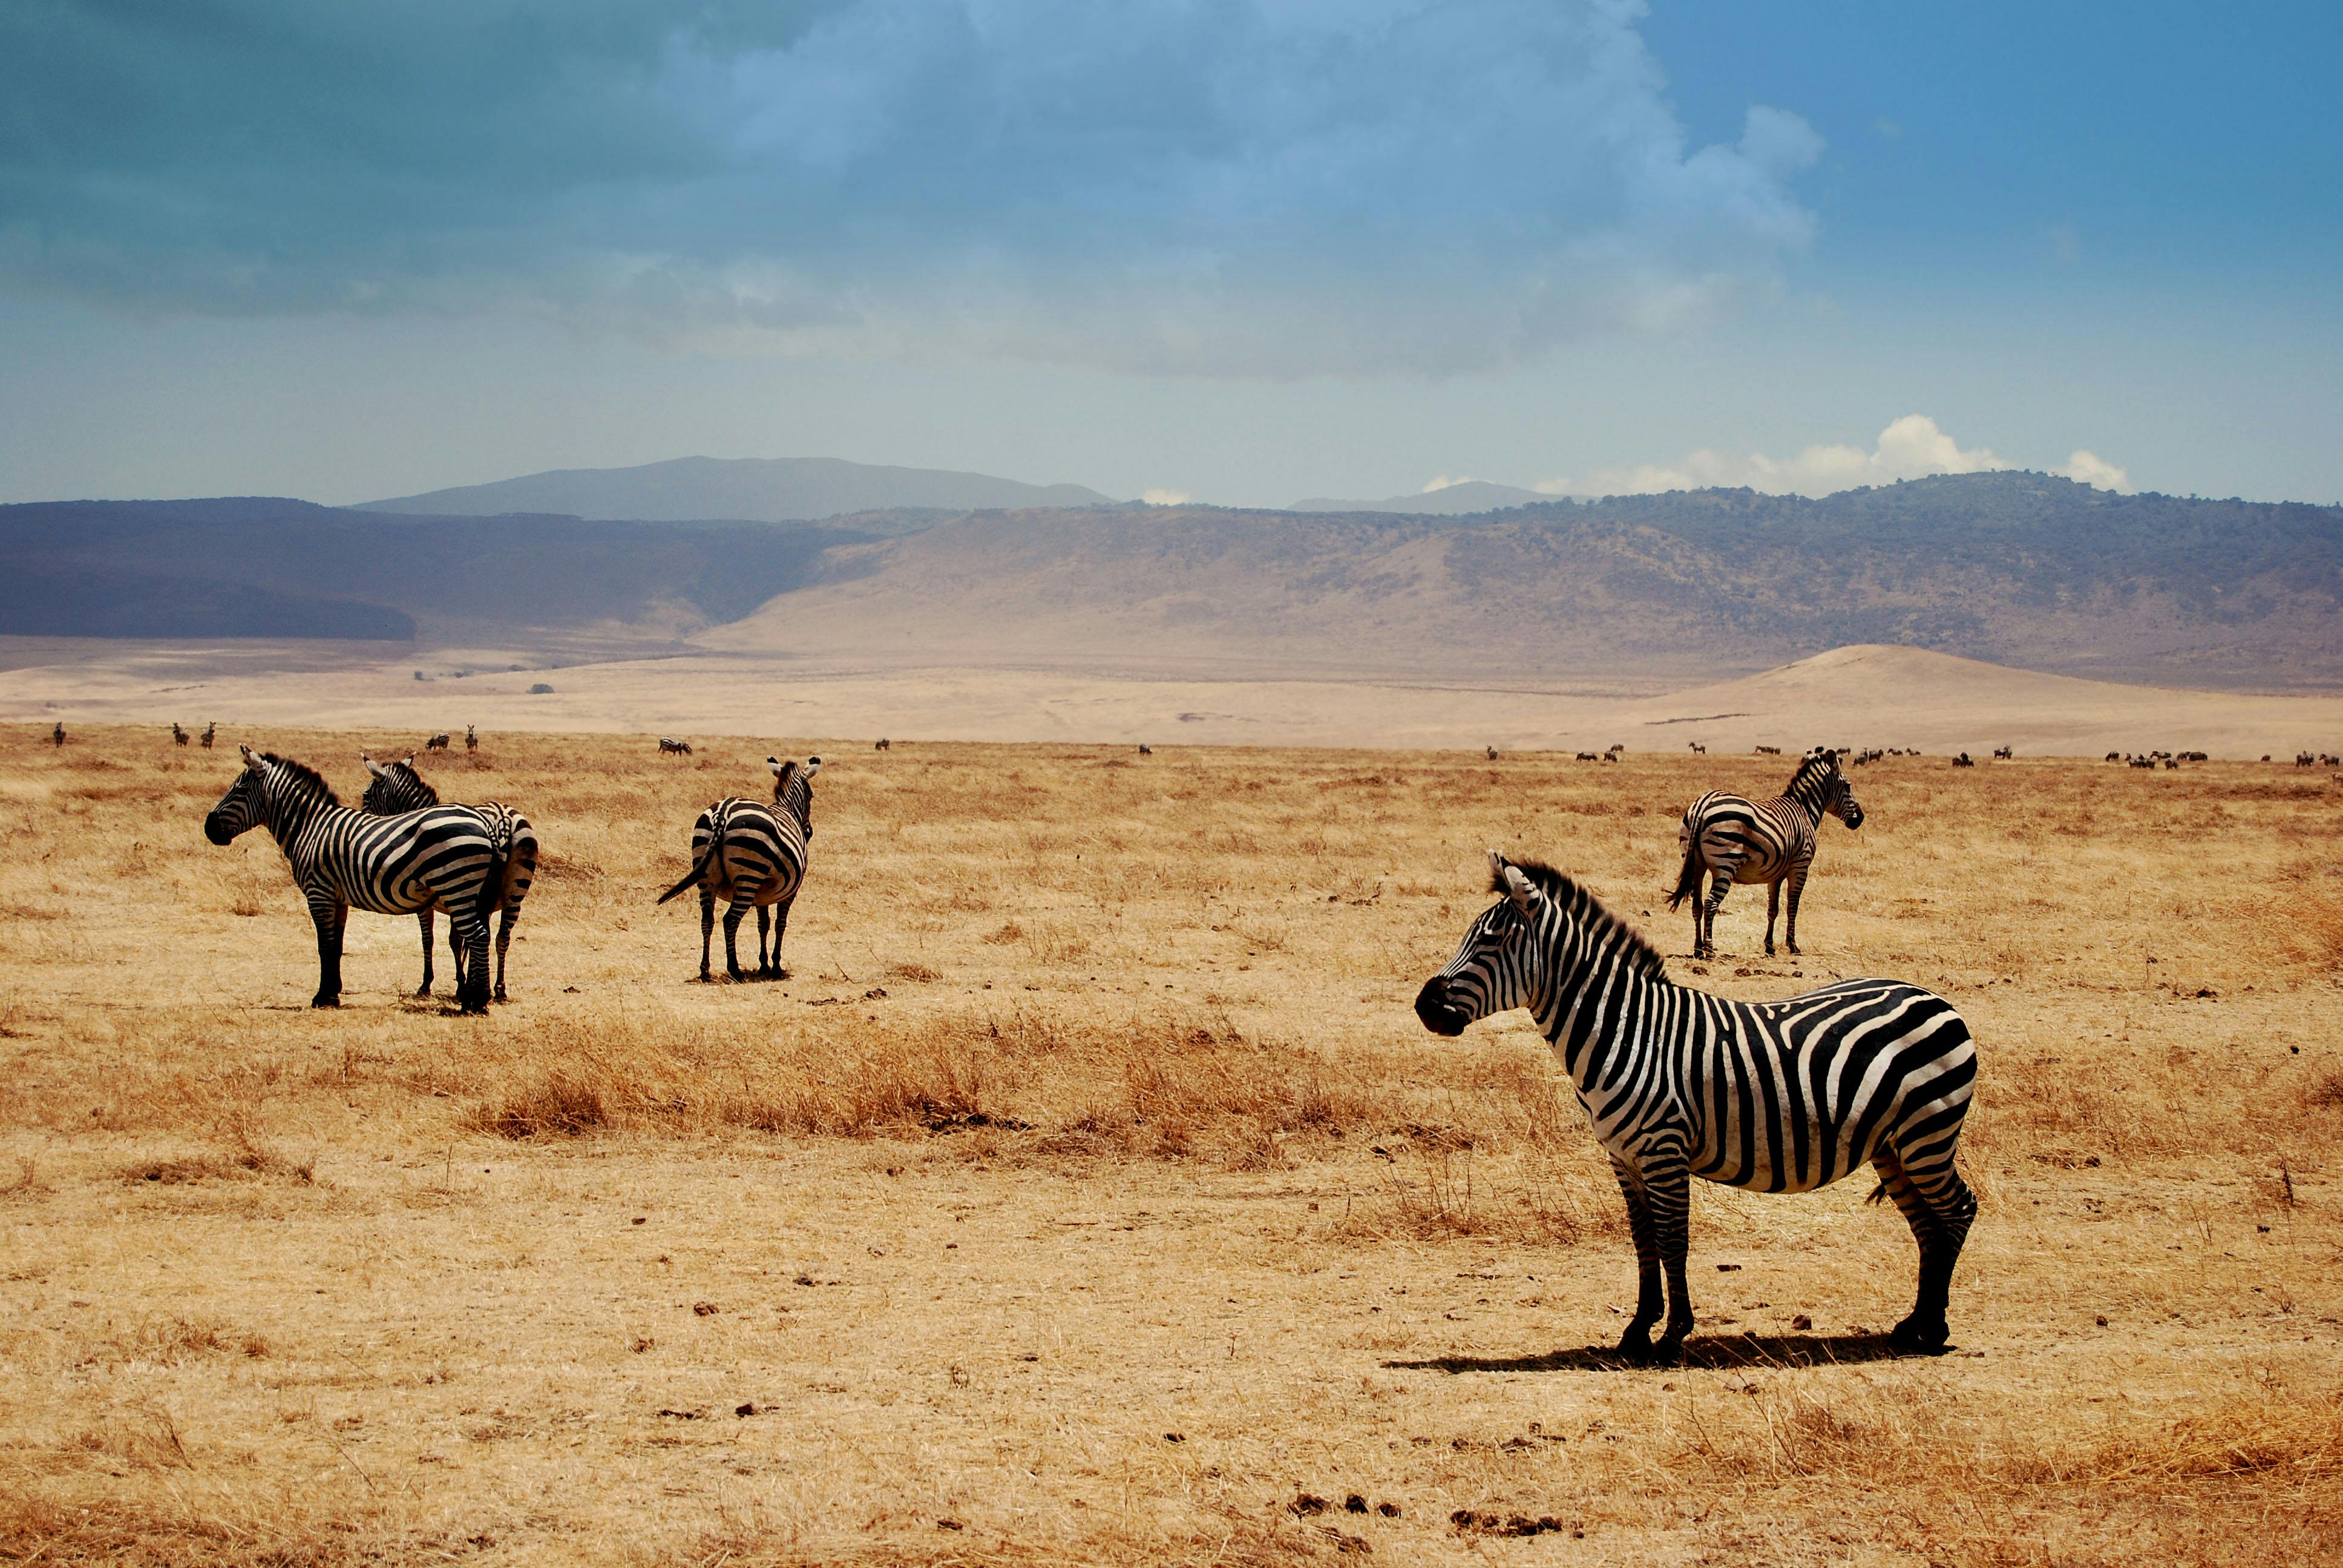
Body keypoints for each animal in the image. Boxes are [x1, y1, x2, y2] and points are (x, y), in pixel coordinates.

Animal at [205, 750, 508, 1017]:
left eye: (240, 789)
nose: (209, 828)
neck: (309, 827)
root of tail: (486, 823)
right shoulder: (337, 898)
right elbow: (337, 945)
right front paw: (333, 994)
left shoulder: (318, 893)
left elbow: (324, 945)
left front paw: (322, 997)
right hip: (469, 892)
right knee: (480, 936)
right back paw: (476, 999)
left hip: (457, 887)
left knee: (478, 937)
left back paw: (476, 1002)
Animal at [361, 750, 539, 998]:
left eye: (366, 795)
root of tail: (503, 818)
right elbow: (462, 939)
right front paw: (466, 982)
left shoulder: (431, 903)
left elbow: (433, 939)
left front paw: (434, 984)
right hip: (515, 893)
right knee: (502, 937)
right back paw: (499, 988)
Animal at [656, 754, 820, 979]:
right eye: (811, 796)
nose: (809, 832)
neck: (788, 810)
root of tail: (723, 812)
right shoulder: (790, 891)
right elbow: (780, 924)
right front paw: (775, 966)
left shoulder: (763, 894)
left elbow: (763, 924)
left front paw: (764, 965)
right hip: (748, 877)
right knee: (730, 920)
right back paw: (734, 968)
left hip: (707, 877)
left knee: (707, 920)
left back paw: (705, 970)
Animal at [1406, 858, 1977, 1359]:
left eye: (1491, 940)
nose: (1424, 1007)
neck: (1625, 1031)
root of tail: (1931, 998)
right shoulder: (1624, 1158)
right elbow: (1644, 1242)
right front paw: (1637, 1330)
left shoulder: (1664, 1149)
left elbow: (1673, 1240)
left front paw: (1673, 1334)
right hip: (1892, 1146)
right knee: (1927, 1224)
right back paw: (1912, 1325)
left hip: (1927, 1133)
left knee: (1957, 1210)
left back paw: (1936, 1329)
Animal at [1668, 745, 1865, 956]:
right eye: (1848, 786)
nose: (1860, 818)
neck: (1804, 810)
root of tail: (1704, 804)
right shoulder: (1800, 866)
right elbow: (1792, 907)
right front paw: (1793, 945)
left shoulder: (1775, 874)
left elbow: (1773, 910)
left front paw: (1769, 946)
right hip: (1726, 862)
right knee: (1711, 903)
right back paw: (1710, 949)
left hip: (1696, 863)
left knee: (1697, 904)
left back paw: (1698, 949)